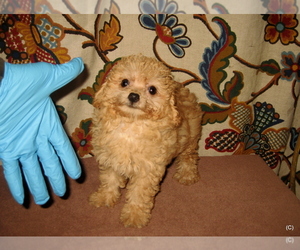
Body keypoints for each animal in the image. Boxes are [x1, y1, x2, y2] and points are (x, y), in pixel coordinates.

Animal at [88, 54, 203, 229]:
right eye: (124, 82)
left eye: (152, 90)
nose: (134, 96)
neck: (131, 123)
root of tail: (183, 89)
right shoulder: (110, 159)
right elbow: (109, 179)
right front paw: (104, 197)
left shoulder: (147, 169)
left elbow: (138, 193)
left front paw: (134, 216)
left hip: (191, 137)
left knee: (189, 156)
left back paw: (187, 175)